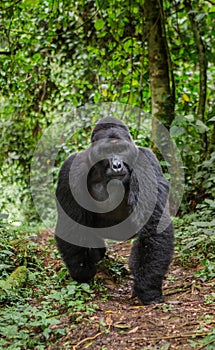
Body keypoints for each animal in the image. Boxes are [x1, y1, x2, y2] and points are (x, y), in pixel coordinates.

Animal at [55, 117, 175, 304]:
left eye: (121, 150)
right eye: (106, 151)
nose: (117, 165)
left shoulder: (145, 161)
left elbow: (153, 222)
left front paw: (147, 288)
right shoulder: (72, 168)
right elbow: (71, 223)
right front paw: (83, 272)